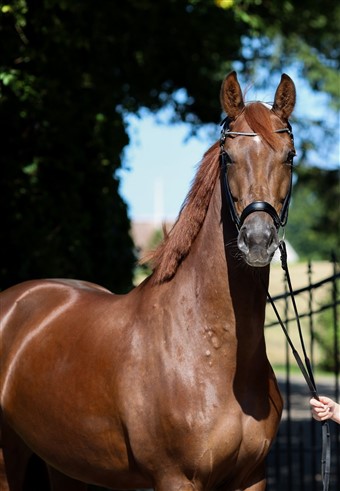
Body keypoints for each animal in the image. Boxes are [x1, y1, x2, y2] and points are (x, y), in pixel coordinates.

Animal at [0, 71, 296, 490]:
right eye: (228, 157)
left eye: (289, 156)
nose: (257, 240)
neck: (209, 350)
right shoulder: (176, 478)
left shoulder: (252, 476)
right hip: (7, 455)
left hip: (65, 464)